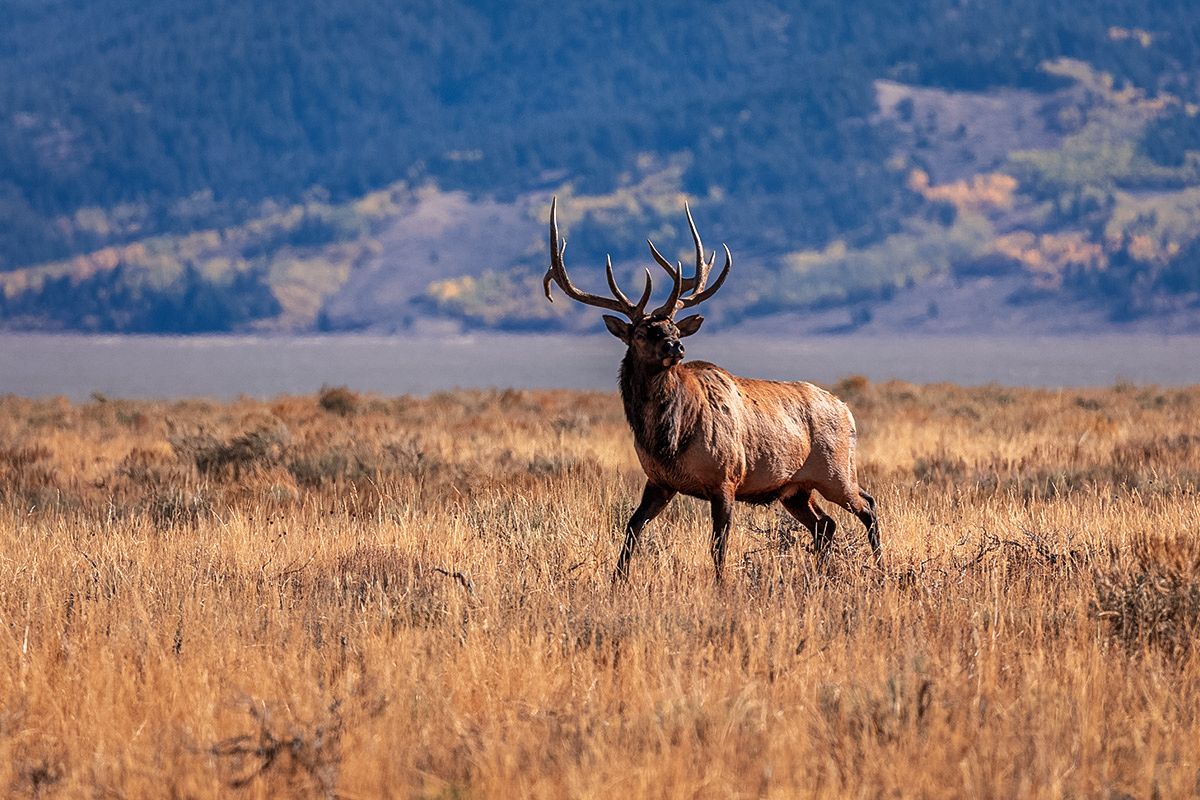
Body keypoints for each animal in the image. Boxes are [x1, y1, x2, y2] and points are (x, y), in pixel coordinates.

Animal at [544, 196, 883, 578]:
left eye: (675, 328)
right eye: (643, 332)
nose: (676, 347)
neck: (668, 438)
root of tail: (847, 411)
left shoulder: (726, 479)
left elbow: (718, 546)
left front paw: (722, 584)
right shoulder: (659, 481)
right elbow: (632, 527)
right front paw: (618, 579)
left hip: (836, 471)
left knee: (868, 506)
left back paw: (881, 567)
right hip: (794, 489)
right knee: (825, 524)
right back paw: (821, 572)